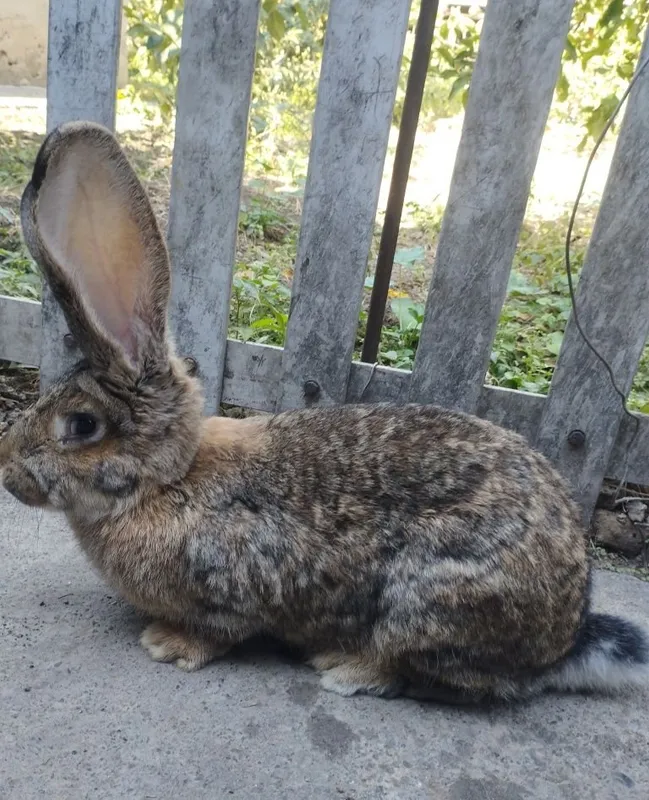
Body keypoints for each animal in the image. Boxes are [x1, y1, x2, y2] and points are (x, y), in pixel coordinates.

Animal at [1, 120, 647, 704]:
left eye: (81, 426)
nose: (7, 469)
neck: (169, 482)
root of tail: (564, 639)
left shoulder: (235, 588)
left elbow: (220, 632)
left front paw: (167, 645)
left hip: (430, 605)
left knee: (429, 674)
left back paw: (343, 667)